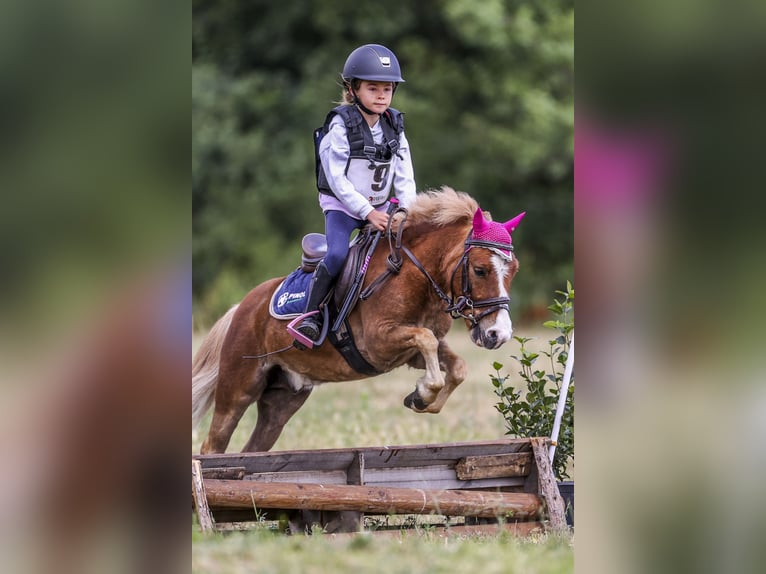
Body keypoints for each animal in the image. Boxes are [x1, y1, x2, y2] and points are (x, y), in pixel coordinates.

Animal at [195, 189, 524, 454]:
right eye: (480, 270)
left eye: (514, 271)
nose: (499, 334)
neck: (416, 276)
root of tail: (242, 307)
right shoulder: (380, 343)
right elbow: (427, 341)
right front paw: (424, 391)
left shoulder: (409, 352)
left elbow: (456, 367)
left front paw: (420, 399)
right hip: (237, 388)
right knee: (213, 445)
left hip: (283, 399)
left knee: (253, 447)